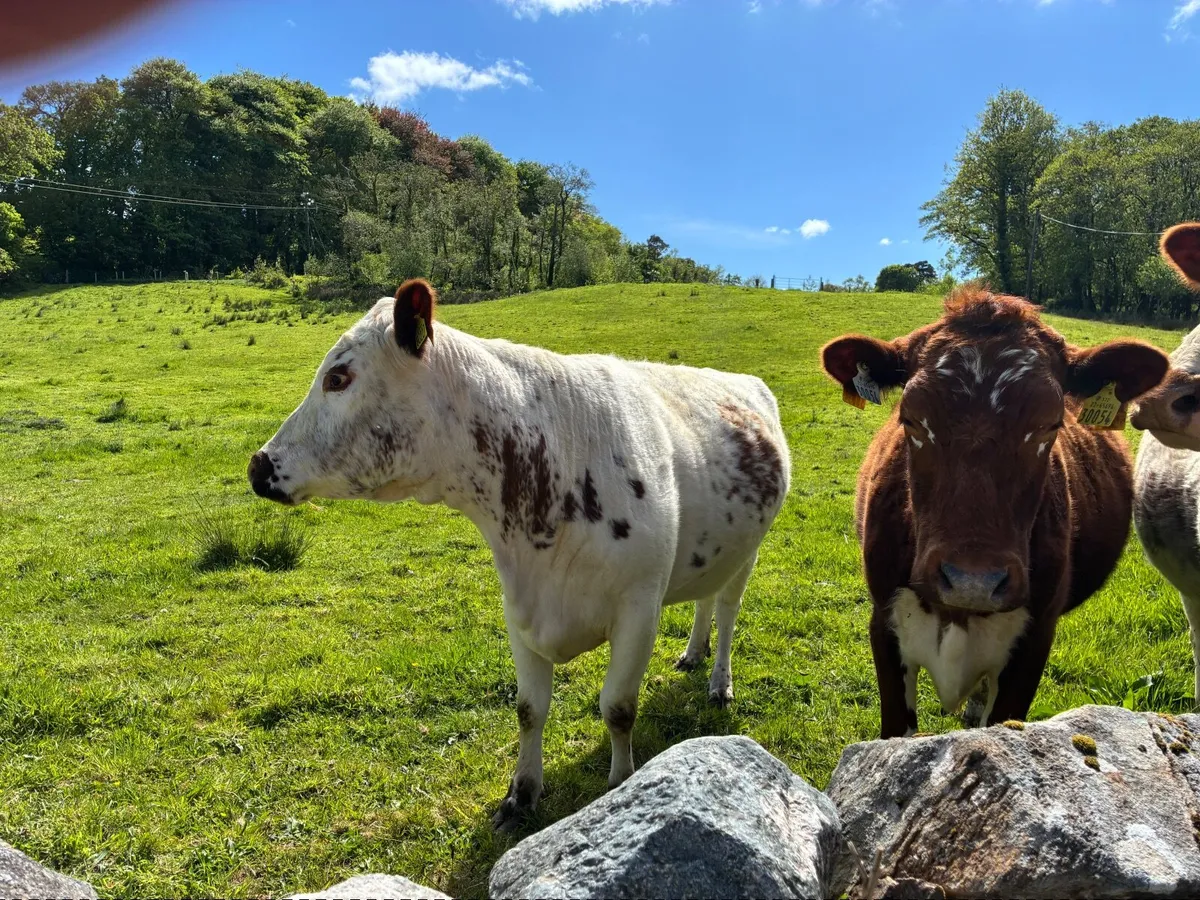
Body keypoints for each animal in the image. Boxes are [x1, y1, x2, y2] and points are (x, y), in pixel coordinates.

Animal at [248, 279, 791, 826]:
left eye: (337, 377)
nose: (258, 465)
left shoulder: (639, 608)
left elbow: (618, 708)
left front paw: (620, 787)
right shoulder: (519, 609)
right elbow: (530, 709)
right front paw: (521, 794)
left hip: (748, 553)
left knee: (726, 611)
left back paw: (719, 680)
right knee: (705, 600)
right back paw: (693, 652)